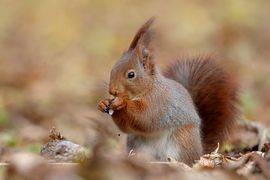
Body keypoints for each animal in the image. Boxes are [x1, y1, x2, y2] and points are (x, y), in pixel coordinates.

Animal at [97, 17, 240, 165]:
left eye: (131, 74)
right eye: (113, 69)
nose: (112, 91)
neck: (148, 88)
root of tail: (200, 152)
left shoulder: (160, 102)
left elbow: (146, 118)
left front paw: (121, 102)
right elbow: (126, 127)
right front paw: (103, 103)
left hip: (183, 140)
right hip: (137, 144)